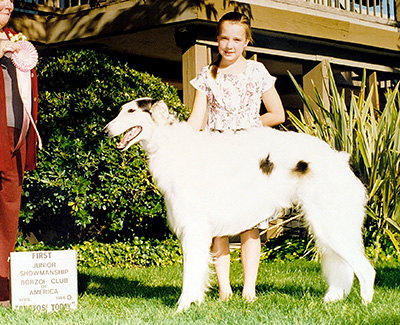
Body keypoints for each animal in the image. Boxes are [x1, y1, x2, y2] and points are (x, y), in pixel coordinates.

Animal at [103, 97, 376, 312]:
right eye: (121, 110)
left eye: (131, 111)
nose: (104, 130)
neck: (173, 146)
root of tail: (341, 159)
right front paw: (196, 302)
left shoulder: (193, 229)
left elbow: (190, 273)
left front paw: (182, 306)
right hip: (325, 225)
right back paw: (332, 299)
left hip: (331, 225)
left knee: (366, 269)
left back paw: (365, 304)